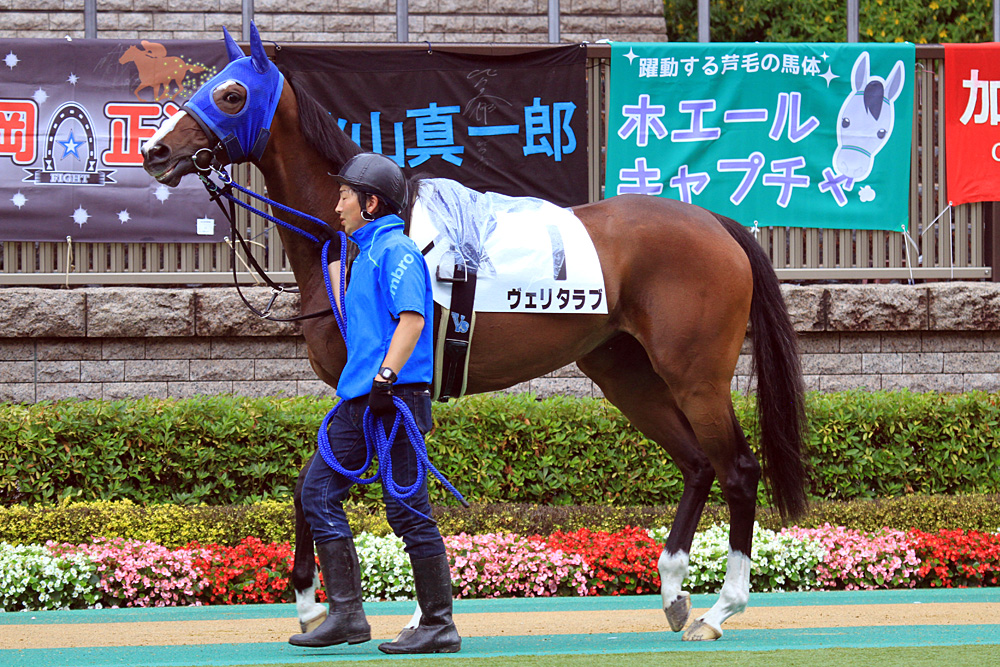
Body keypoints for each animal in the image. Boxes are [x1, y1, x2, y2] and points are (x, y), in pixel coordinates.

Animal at [143, 26, 812, 640]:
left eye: (230, 93)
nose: (154, 150)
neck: (357, 239)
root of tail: (717, 222)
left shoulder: (377, 390)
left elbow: (377, 492)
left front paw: (374, 613)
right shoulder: (361, 394)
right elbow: (318, 484)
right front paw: (321, 606)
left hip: (696, 376)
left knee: (736, 469)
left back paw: (721, 610)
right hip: (626, 372)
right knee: (697, 464)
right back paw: (673, 592)